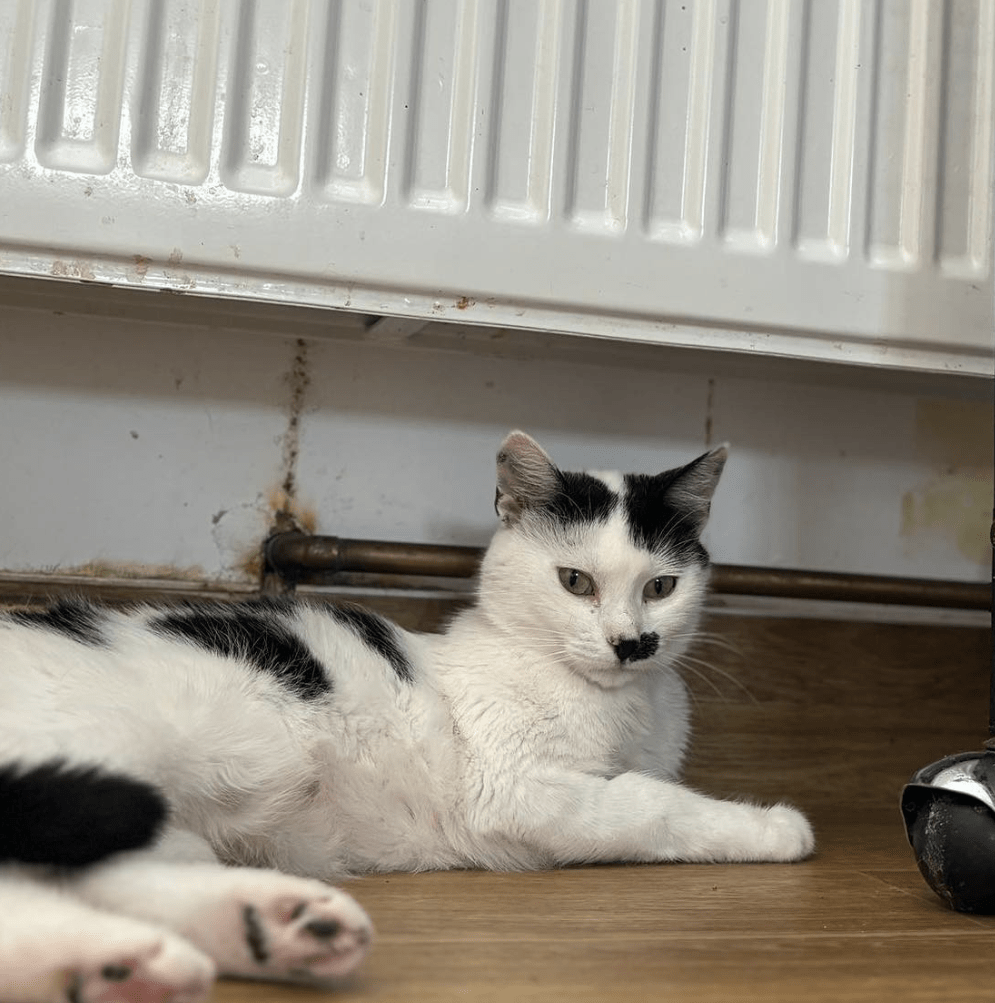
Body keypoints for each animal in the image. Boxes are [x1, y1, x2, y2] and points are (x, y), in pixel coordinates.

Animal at [0, 431, 810, 1003]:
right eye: (575, 581)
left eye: (662, 586)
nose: (632, 642)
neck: (620, 706)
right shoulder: (517, 789)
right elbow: (651, 804)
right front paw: (770, 827)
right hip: (103, 756)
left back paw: (254, 936)